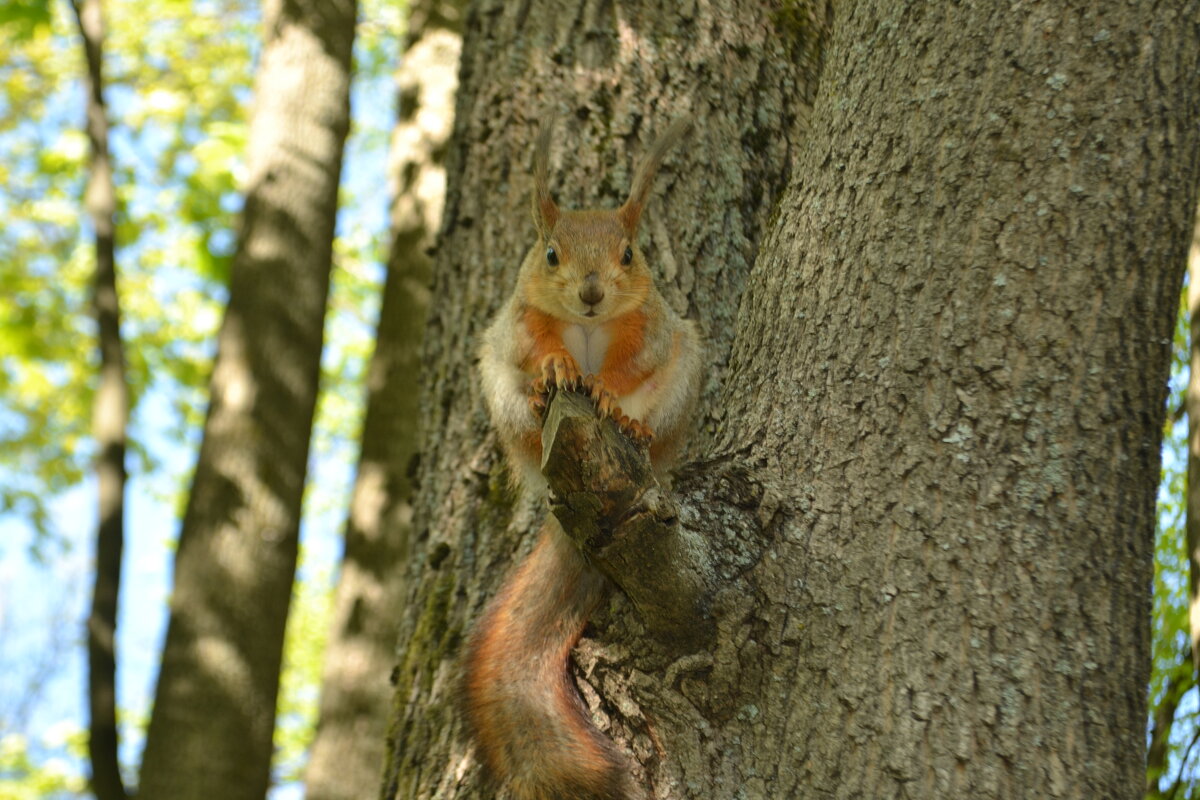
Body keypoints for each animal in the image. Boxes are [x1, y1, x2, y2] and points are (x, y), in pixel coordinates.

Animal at [460, 118, 700, 800]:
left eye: (630, 254)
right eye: (549, 254)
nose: (592, 294)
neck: (589, 327)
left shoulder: (652, 326)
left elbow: (632, 362)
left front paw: (609, 392)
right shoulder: (520, 320)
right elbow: (536, 347)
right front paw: (558, 368)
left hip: (683, 381)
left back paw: (632, 425)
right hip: (502, 398)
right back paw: (546, 398)